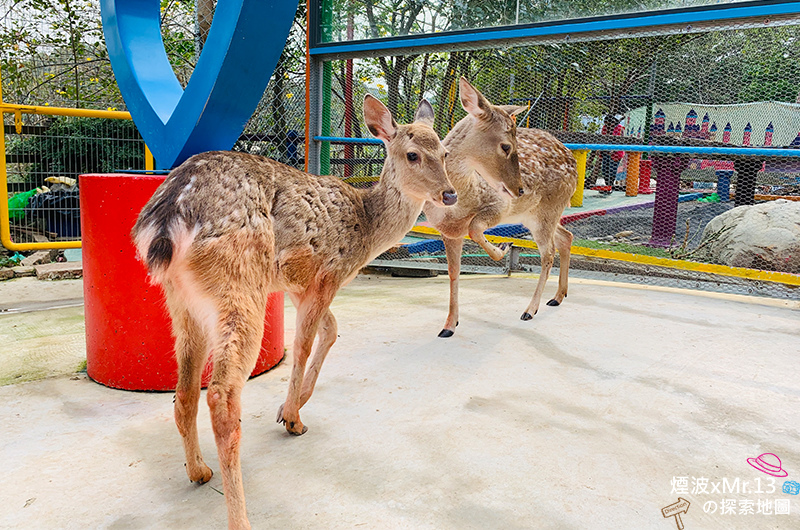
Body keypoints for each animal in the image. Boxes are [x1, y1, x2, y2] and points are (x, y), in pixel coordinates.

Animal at [132, 96, 456, 528]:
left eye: (446, 152)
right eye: (412, 154)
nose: (449, 194)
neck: (366, 230)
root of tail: (166, 220)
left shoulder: (298, 286)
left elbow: (330, 331)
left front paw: (290, 407)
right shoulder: (326, 274)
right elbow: (303, 344)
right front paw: (292, 419)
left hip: (182, 301)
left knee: (184, 391)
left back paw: (199, 471)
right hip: (239, 285)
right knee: (221, 395)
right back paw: (240, 518)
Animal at [424, 78, 576, 336]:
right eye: (506, 146)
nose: (520, 190)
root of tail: (574, 164)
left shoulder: (499, 206)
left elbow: (475, 228)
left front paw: (502, 249)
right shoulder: (447, 230)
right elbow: (453, 272)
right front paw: (449, 326)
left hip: (547, 210)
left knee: (548, 253)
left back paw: (530, 310)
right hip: (538, 215)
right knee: (566, 236)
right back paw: (557, 297)